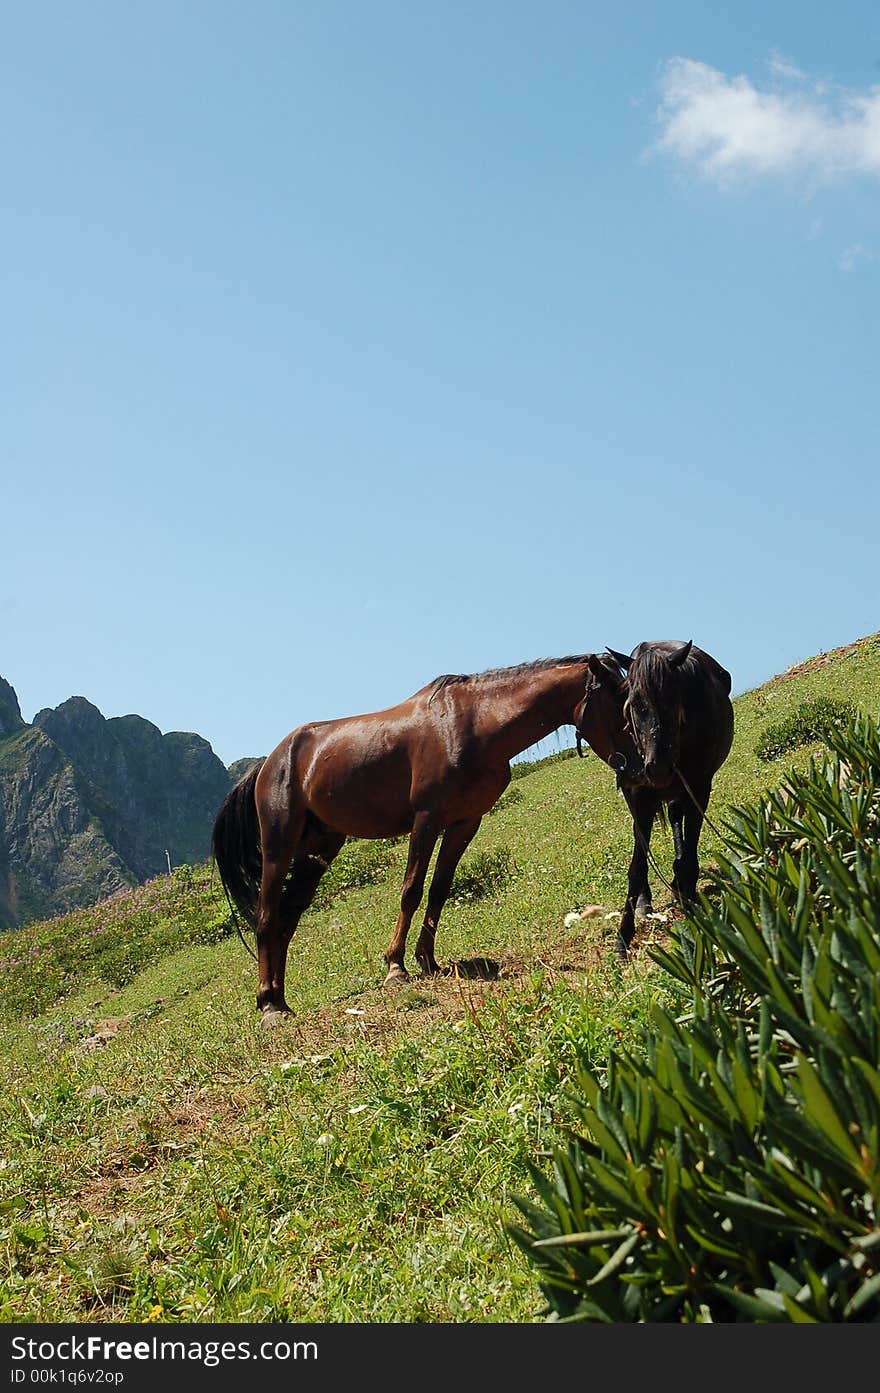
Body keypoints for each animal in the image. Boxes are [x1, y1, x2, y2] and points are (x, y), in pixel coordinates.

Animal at [210, 651, 629, 1025]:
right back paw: (268, 1005)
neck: (473, 725)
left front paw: (427, 959)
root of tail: (268, 763)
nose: (636, 763)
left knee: (287, 918)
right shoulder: (426, 820)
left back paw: (279, 999)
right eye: (618, 702)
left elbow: (440, 889)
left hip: (319, 851)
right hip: (278, 848)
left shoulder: (465, 822)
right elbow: (411, 890)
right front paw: (396, 966)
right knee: (266, 916)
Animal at [604, 640, 735, 958]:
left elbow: (688, 852)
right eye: (633, 703)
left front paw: (689, 898)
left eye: (674, 700)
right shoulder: (640, 796)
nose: (658, 767)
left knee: (679, 823)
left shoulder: (699, 787)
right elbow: (637, 866)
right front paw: (623, 938)